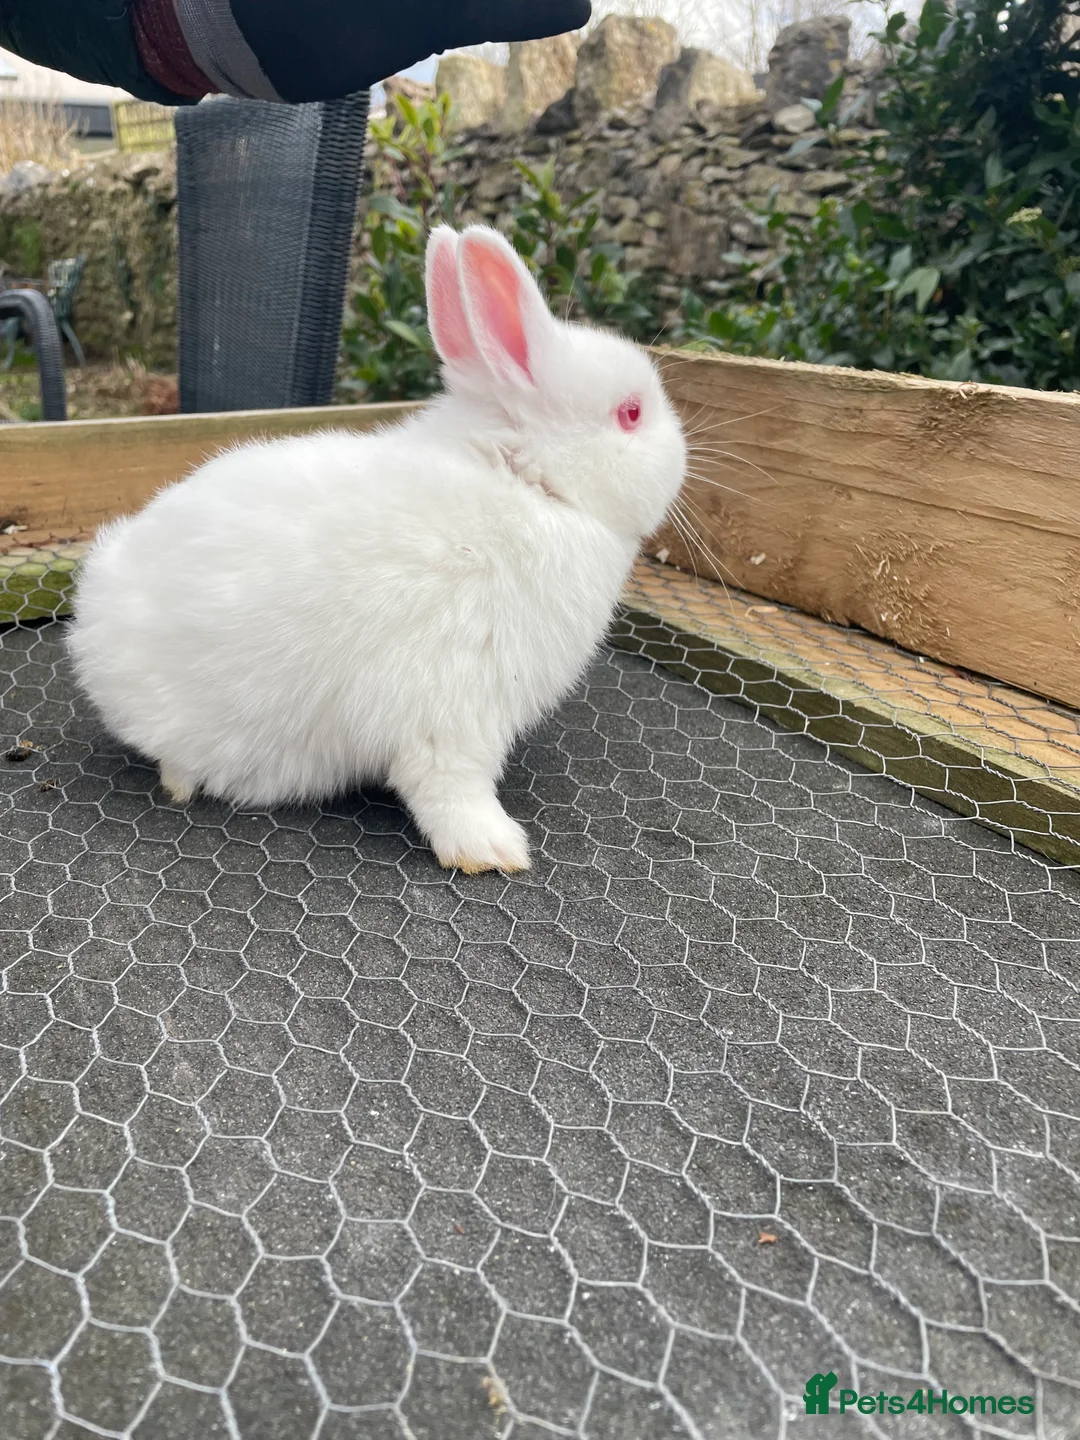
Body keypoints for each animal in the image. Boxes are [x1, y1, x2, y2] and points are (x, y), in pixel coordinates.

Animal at [67, 224, 687, 874]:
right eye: (631, 413)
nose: (683, 453)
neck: (530, 486)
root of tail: (92, 625)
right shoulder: (454, 705)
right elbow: (449, 784)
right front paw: (494, 850)